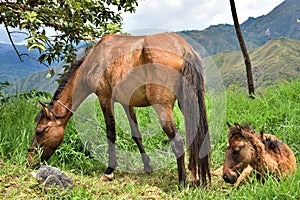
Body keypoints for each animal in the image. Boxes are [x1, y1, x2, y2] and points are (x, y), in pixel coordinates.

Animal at [27, 32, 211, 186]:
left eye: (40, 131)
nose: (29, 160)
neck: (93, 61)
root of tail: (184, 49)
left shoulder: (105, 98)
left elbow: (111, 132)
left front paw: (109, 170)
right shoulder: (126, 103)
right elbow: (136, 135)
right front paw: (147, 166)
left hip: (163, 108)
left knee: (178, 141)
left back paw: (182, 182)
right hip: (187, 103)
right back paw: (194, 177)